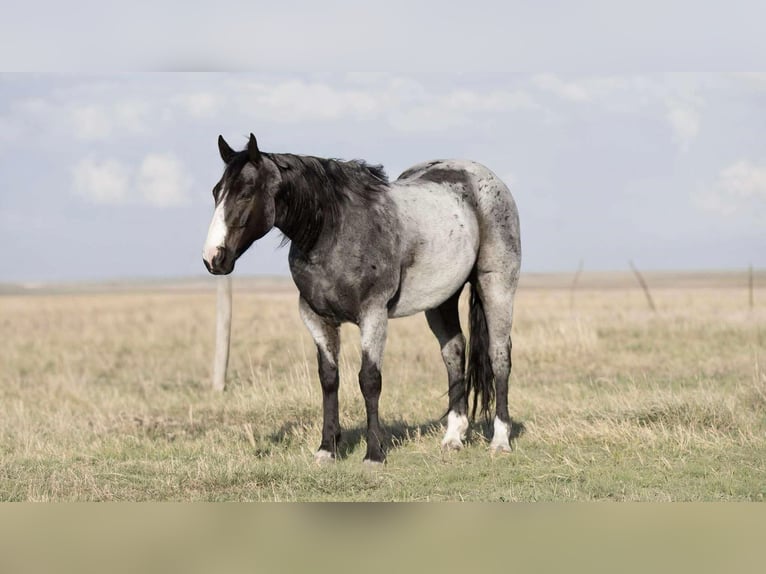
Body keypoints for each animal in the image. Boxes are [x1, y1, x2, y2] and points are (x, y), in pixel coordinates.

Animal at [203, 134, 521, 464]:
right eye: (216, 192)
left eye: (245, 193)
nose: (213, 258)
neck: (334, 230)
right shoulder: (316, 318)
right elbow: (329, 379)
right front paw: (327, 449)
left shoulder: (373, 314)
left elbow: (369, 380)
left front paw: (374, 453)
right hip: (442, 299)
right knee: (454, 352)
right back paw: (453, 437)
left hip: (496, 285)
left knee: (499, 356)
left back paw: (500, 440)